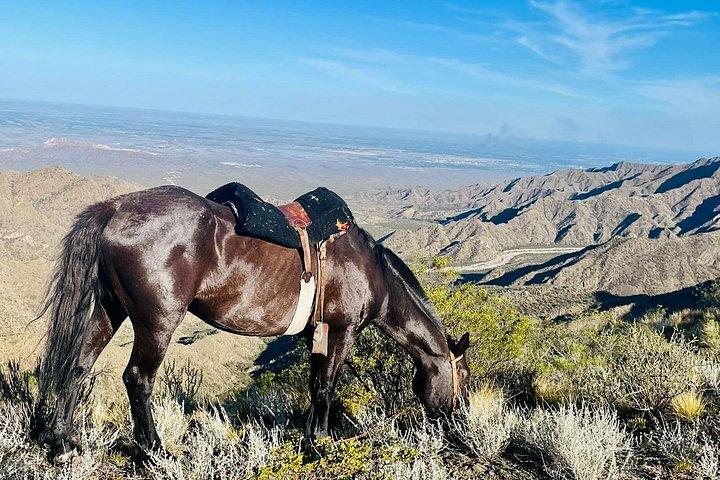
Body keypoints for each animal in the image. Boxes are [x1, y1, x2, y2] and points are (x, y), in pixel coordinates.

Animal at [36, 185, 471, 460]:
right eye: (463, 376)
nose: (459, 418)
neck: (371, 271)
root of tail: (115, 208)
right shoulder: (343, 330)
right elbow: (327, 386)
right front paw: (319, 443)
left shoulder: (315, 333)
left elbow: (315, 385)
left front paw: (312, 438)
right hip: (157, 320)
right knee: (138, 379)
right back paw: (154, 452)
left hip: (109, 309)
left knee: (78, 365)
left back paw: (61, 443)